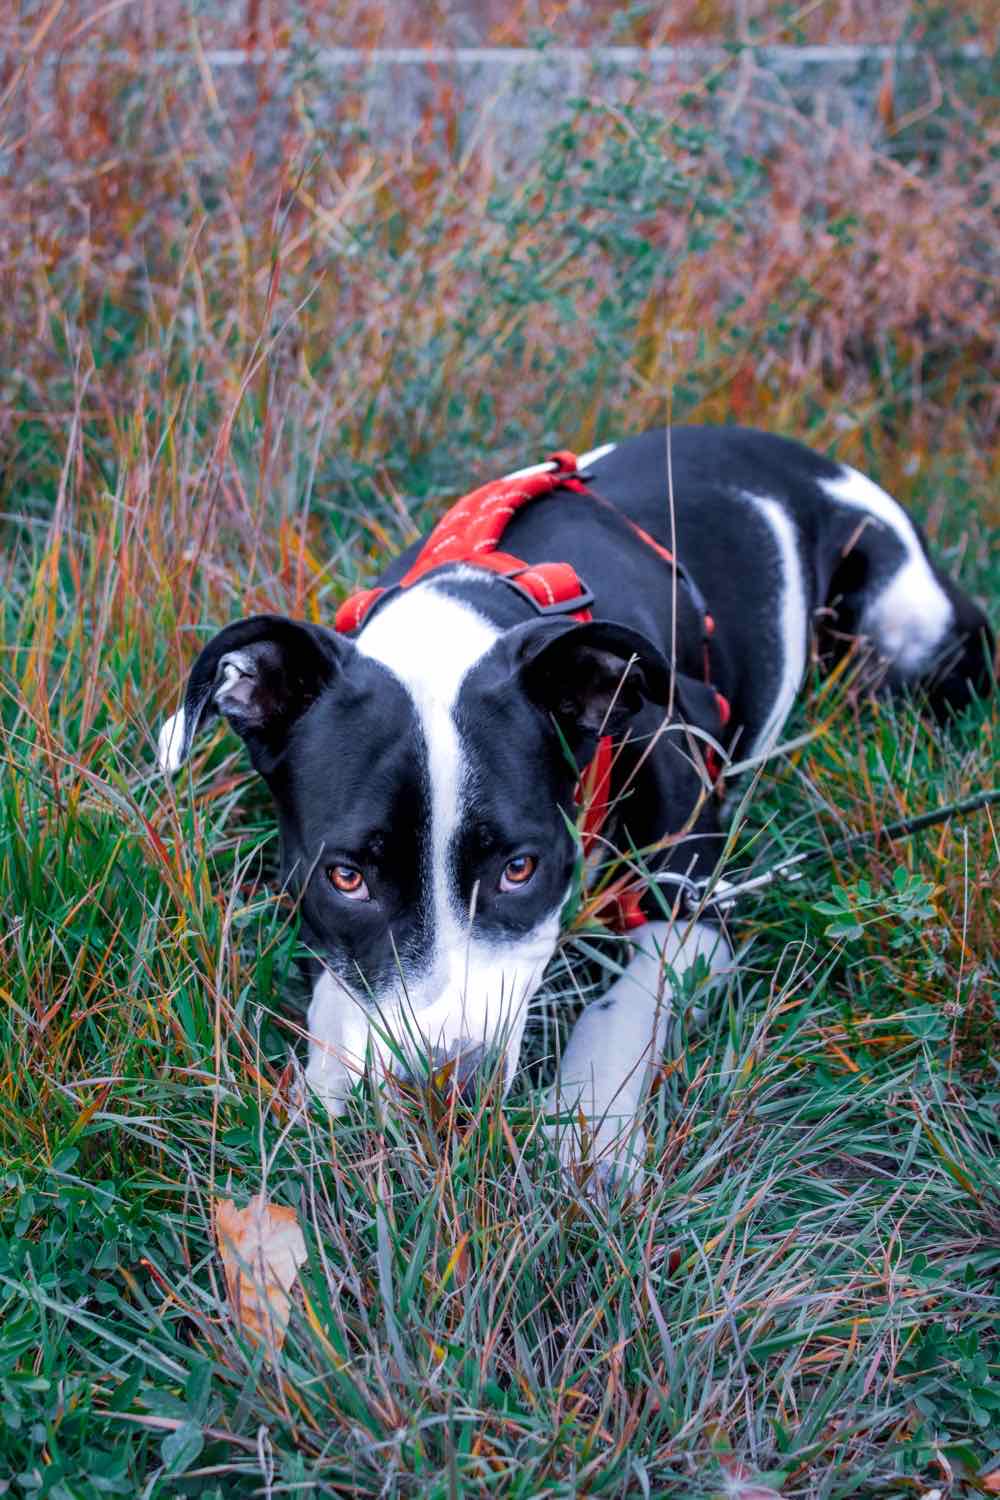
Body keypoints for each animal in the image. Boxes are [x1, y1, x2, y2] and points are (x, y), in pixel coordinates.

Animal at [158, 426, 994, 1175]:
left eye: (520, 870)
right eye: (347, 878)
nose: (446, 1093)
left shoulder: (695, 902)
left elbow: (621, 1006)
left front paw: (586, 1129)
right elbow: (341, 979)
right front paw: (327, 1077)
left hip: (909, 630)